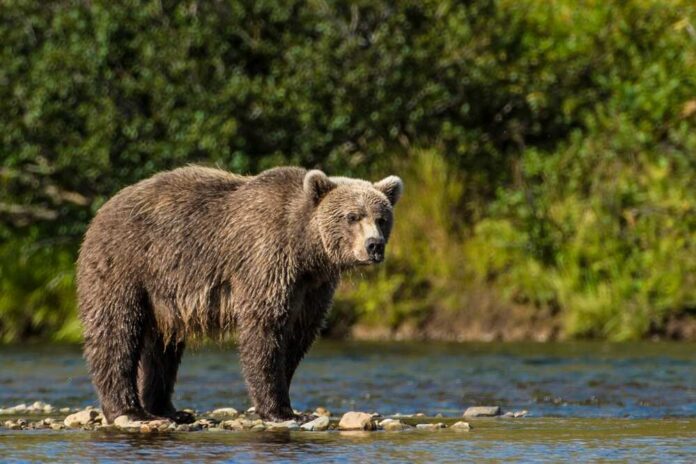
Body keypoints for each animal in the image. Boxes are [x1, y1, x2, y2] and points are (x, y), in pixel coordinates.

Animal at [76, 166, 403, 423]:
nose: (374, 245)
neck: (306, 250)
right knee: (116, 332)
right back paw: (129, 410)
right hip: (127, 265)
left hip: (163, 294)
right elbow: (264, 331)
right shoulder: (266, 262)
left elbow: (298, 336)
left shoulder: (313, 288)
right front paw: (280, 410)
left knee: (163, 348)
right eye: (352, 216)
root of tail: (102, 210)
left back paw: (169, 410)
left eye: (381, 218)